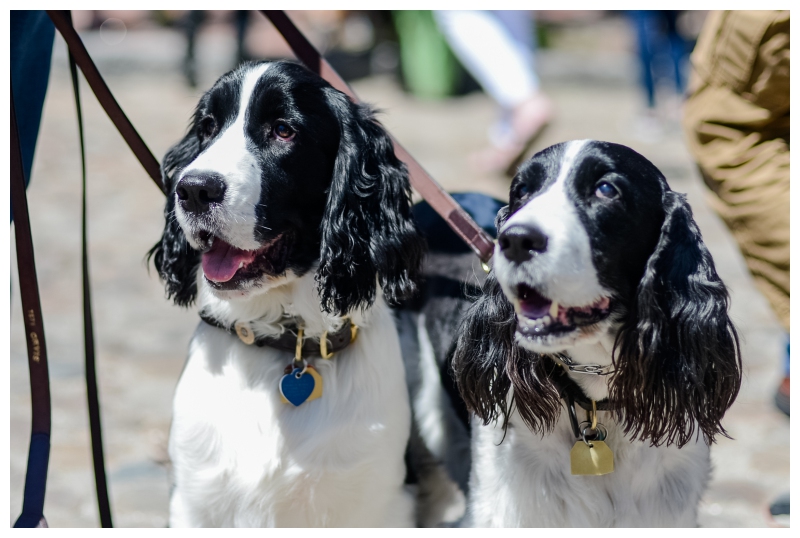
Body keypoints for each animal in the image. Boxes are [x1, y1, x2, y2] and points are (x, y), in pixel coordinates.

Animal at [149, 61, 424, 524]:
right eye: (208, 127)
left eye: (283, 130)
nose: (194, 189)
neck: (282, 338)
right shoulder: (194, 497)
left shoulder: (380, 502)